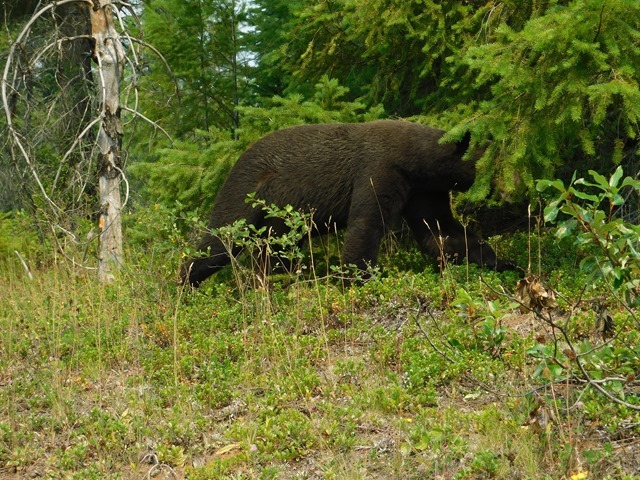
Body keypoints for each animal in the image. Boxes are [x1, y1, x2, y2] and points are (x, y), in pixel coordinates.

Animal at [180, 120, 516, 286]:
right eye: (492, 166)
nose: (508, 191)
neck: (416, 162)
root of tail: (237, 158)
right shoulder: (379, 170)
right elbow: (366, 223)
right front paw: (357, 279)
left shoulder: (422, 191)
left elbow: (441, 232)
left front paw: (502, 262)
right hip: (245, 190)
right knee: (219, 239)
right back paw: (185, 285)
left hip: (280, 217)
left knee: (274, 250)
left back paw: (277, 280)